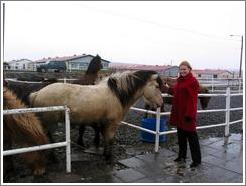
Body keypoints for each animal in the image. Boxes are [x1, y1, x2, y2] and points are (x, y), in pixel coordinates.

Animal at [29, 70, 163, 161]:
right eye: (157, 86)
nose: (161, 103)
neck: (116, 94)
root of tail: (37, 93)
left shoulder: (103, 123)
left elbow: (104, 137)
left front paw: (104, 154)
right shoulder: (112, 124)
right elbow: (110, 139)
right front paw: (108, 157)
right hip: (50, 123)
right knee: (48, 139)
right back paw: (53, 158)